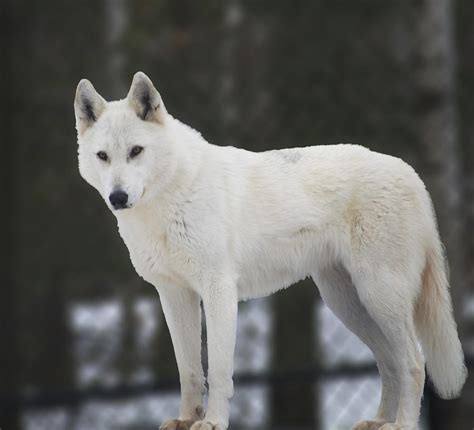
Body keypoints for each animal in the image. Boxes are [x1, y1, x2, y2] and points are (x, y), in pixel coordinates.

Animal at [74, 72, 466, 428]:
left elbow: (218, 370)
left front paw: (212, 422)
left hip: (378, 297)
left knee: (414, 362)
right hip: (347, 304)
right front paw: (186, 419)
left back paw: (400, 424)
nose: (118, 197)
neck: (166, 202)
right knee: (390, 363)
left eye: (136, 151)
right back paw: (379, 421)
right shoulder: (173, 295)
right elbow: (189, 370)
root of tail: (411, 174)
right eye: (103, 156)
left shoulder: (218, 291)